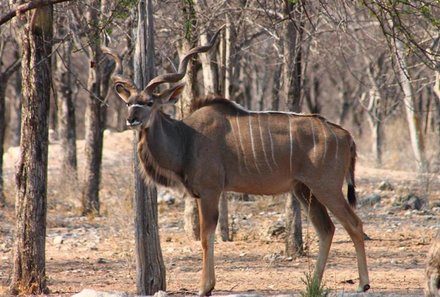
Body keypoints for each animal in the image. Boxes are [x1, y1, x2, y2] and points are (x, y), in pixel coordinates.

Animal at [105, 27, 370, 294]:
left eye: (149, 103)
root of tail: (346, 136)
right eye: (129, 103)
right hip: (304, 189)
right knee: (327, 229)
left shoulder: (210, 191)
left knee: (354, 224)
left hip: (326, 187)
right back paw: (314, 284)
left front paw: (205, 288)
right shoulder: (204, 194)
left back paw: (363, 284)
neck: (186, 138)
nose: (131, 119)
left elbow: (206, 237)